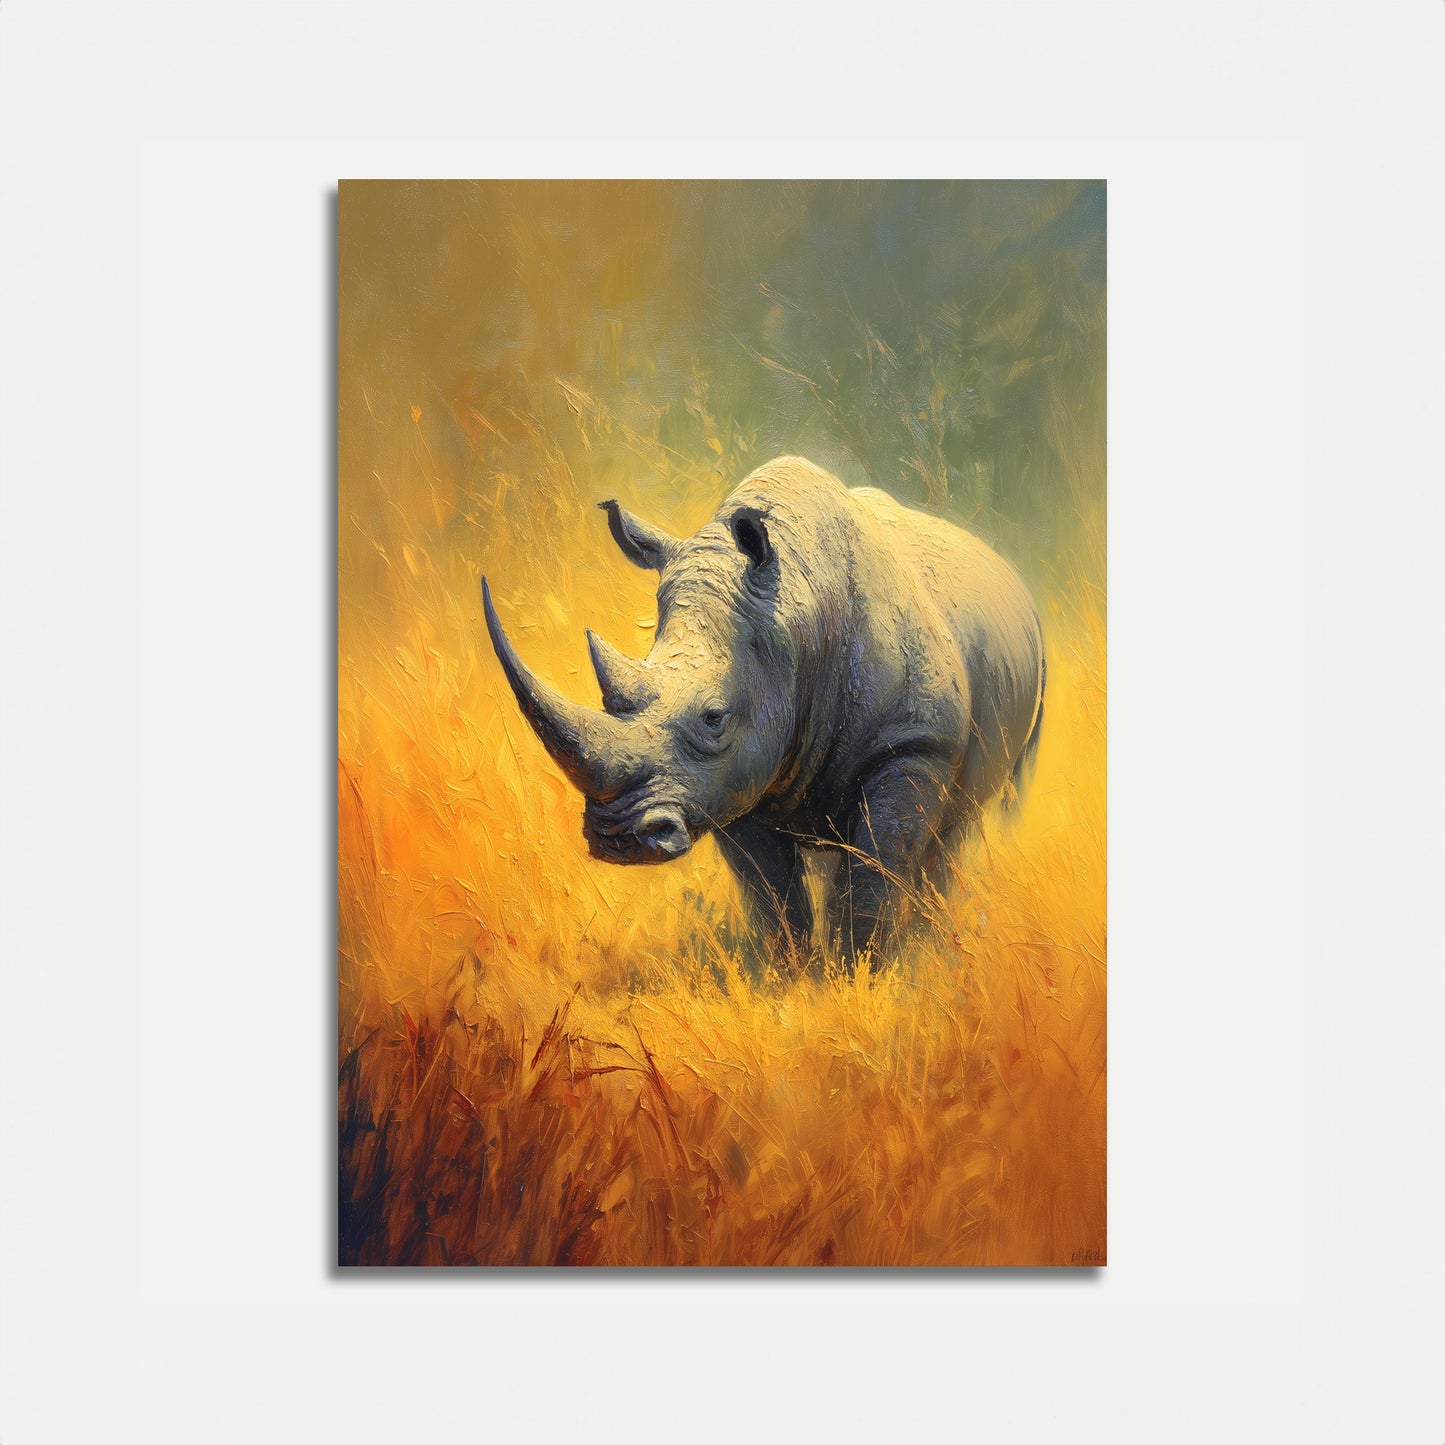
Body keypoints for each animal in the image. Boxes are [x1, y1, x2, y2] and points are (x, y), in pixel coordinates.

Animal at [481, 455, 1045, 966]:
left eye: (714, 718)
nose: (618, 838)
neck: (799, 613)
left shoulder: (912, 744)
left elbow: (872, 880)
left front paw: (859, 978)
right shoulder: (732, 780)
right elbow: (774, 899)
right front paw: (791, 979)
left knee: (954, 832)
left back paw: (929, 942)